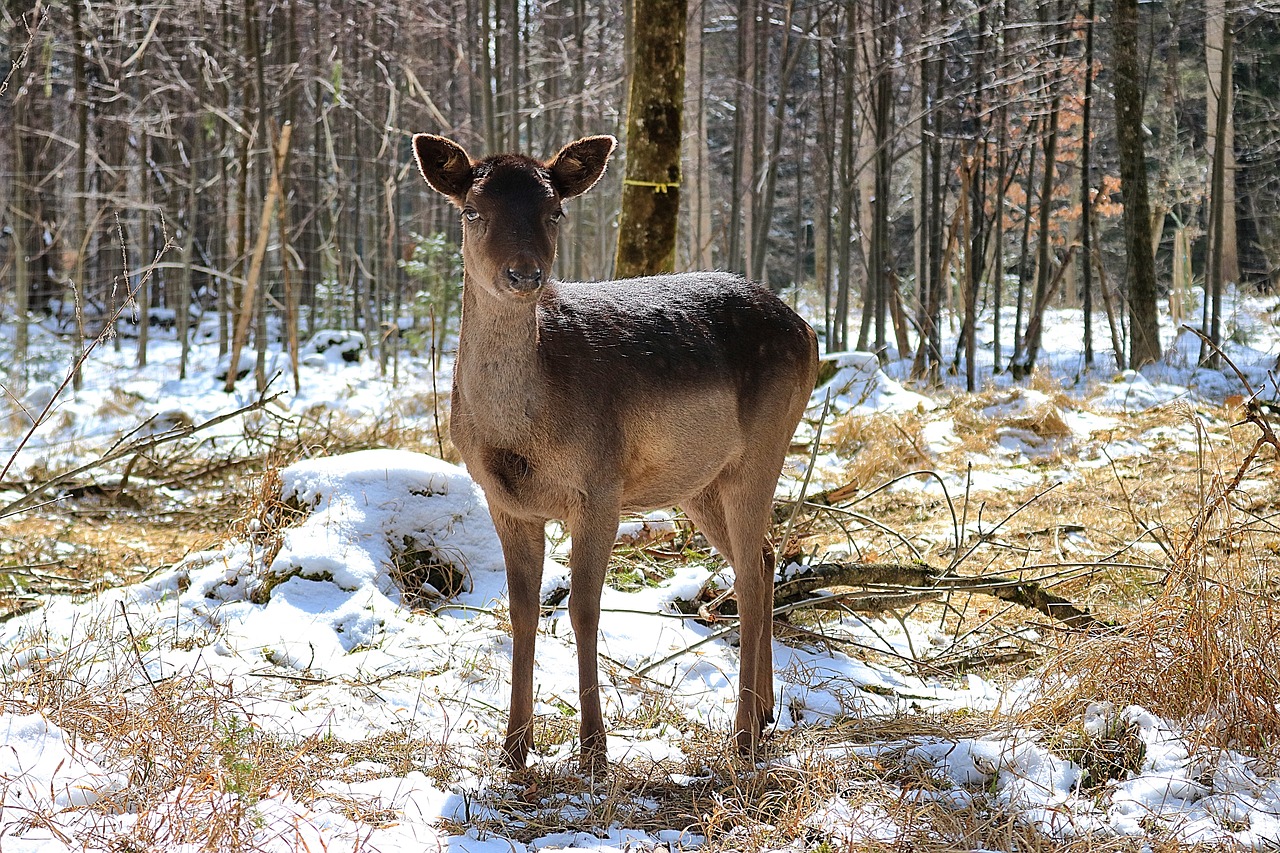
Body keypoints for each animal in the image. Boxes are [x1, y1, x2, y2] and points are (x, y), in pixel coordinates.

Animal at [412, 131, 819, 768]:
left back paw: (743, 737)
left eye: (555, 210)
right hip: (701, 481)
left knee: (752, 576)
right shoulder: (504, 501)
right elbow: (522, 610)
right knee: (763, 556)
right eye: (472, 210)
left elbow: (583, 608)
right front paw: (514, 749)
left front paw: (594, 751)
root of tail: (809, 330)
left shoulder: (599, 486)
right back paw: (766, 713)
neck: (518, 435)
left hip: (764, 447)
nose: (524, 274)